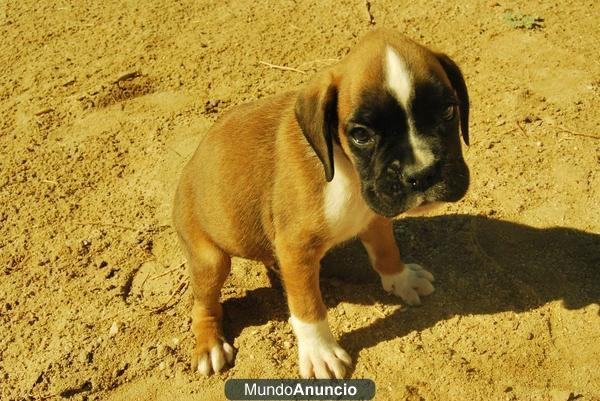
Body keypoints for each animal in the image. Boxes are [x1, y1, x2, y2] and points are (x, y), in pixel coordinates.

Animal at [173, 28, 468, 378]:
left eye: (448, 111)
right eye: (361, 134)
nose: (421, 174)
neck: (346, 168)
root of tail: (188, 169)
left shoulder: (374, 216)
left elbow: (386, 250)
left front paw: (400, 278)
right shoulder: (297, 248)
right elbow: (308, 306)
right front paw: (320, 352)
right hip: (210, 261)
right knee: (203, 304)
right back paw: (210, 344)